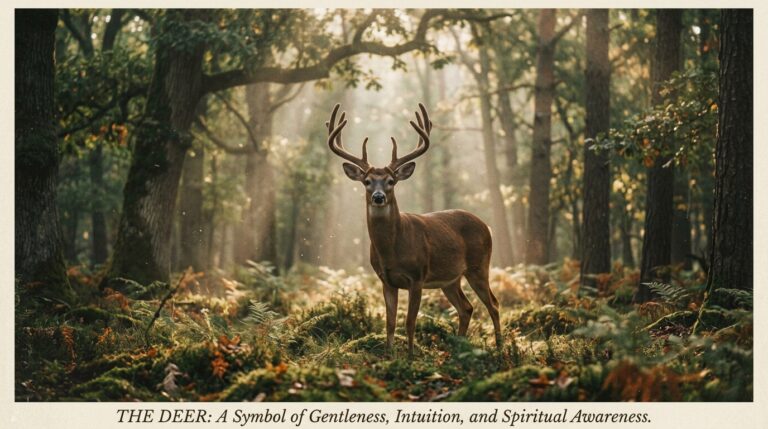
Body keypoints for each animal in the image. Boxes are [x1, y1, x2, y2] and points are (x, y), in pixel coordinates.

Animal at [325, 103, 502, 358]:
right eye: (367, 181)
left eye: (391, 181)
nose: (378, 197)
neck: (391, 250)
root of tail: (486, 225)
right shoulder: (386, 279)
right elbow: (389, 322)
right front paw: (389, 356)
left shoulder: (417, 276)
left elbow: (410, 322)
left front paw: (410, 357)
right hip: (450, 279)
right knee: (466, 308)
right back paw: (458, 351)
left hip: (479, 265)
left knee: (493, 304)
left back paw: (501, 347)